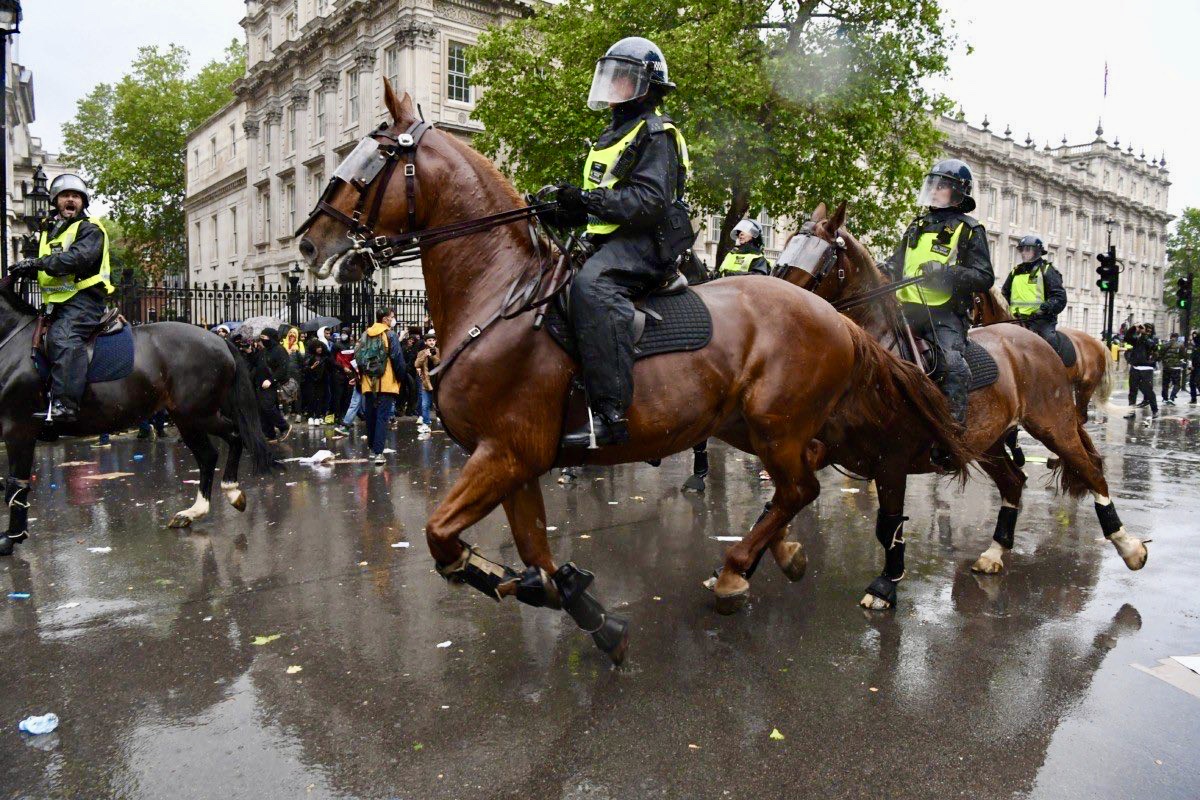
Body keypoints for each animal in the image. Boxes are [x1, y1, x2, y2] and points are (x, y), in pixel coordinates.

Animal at [0, 277, 273, 555]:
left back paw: (230, 492)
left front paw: (11, 537)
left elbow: (16, 482)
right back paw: (196, 510)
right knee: (210, 454)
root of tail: (219, 341)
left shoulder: (18, 429)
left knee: (231, 438)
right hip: (188, 418)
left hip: (196, 414)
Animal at [296, 81, 972, 664]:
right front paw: (584, 609)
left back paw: (738, 573)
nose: (309, 243)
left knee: (800, 487)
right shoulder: (513, 460)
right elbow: (533, 552)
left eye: (379, 155)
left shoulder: (507, 452)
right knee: (796, 485)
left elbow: (442, 539)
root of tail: (834, 315)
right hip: (748, 426)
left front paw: (545, 591)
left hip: (774, 425)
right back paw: (779, 554)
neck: (500, 297)